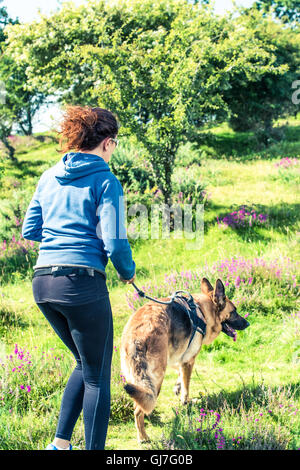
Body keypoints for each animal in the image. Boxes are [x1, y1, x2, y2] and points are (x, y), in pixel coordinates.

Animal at [120, 278, 250, 442]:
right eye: (234, 312)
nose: (248, 324)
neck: (203, 311)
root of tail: (136, 336)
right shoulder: (188, 360)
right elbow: (186, 386)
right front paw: (186, 401)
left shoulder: (176, 356)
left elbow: (179, 374)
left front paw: (177, 385)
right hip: (157, 379)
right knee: (138, 409)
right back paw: (143, 437)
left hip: (140, 377)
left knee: (140, 401)